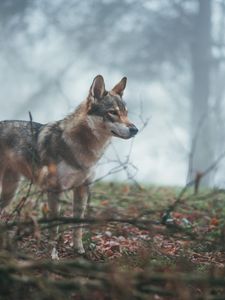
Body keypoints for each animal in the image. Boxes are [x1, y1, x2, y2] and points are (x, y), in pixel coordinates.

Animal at [0, 75, 139, 253]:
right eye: (112, 112)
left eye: (125, 113)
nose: (135, 129)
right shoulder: (54, 190)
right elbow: (54, 227)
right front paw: (53, 253)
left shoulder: (82, 189)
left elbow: (78, 225)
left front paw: (79, 250)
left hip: (10, 192)